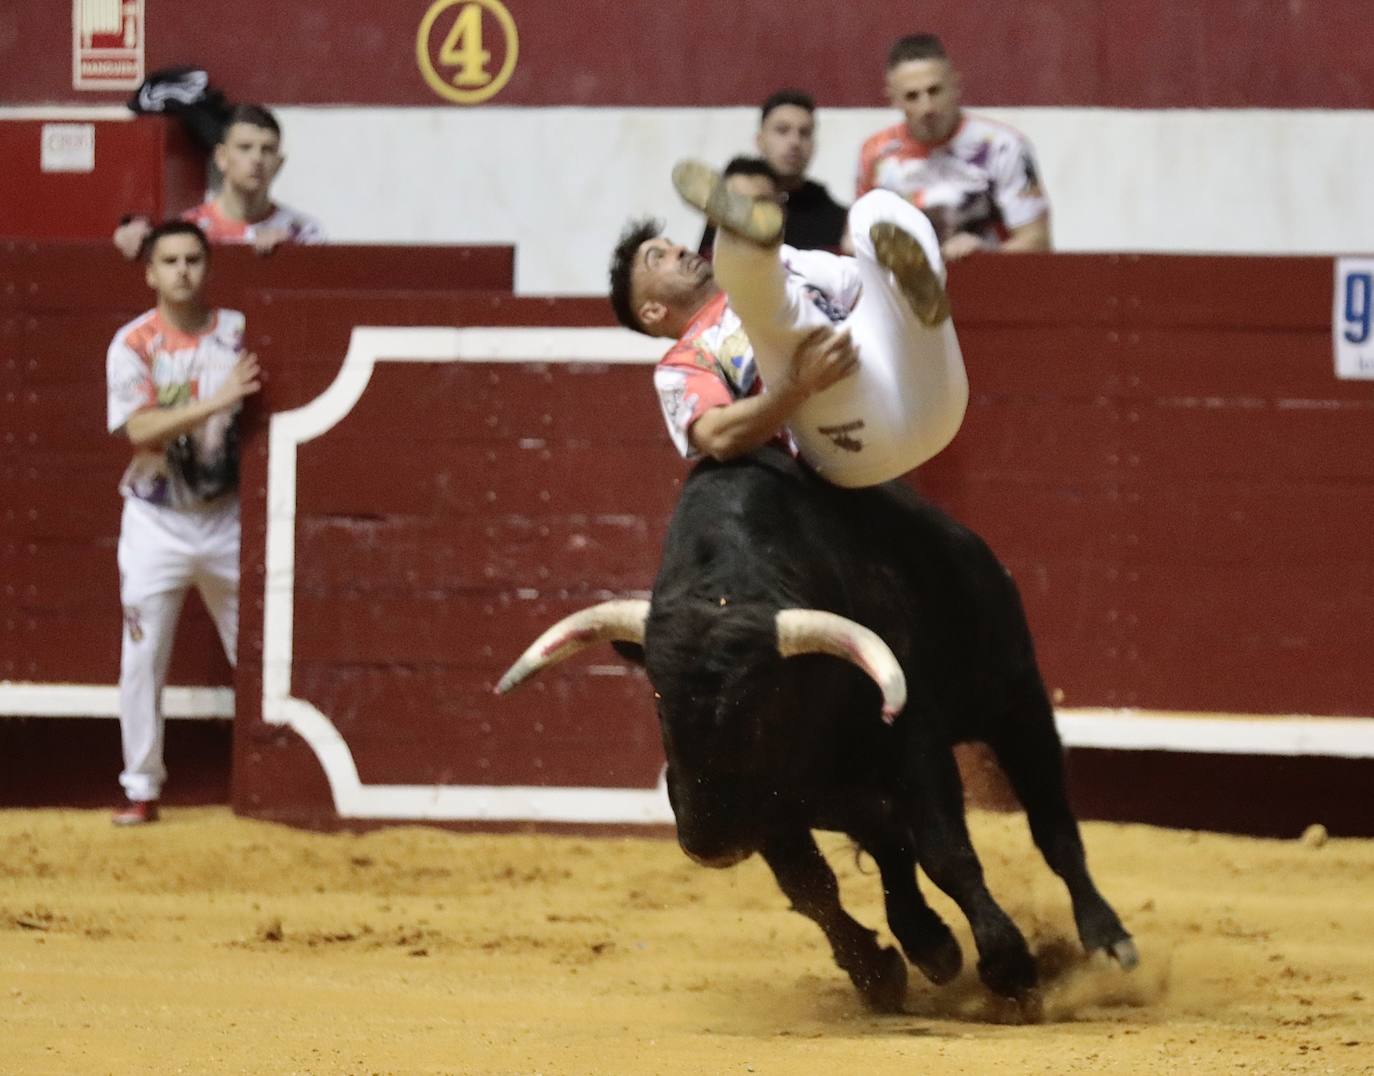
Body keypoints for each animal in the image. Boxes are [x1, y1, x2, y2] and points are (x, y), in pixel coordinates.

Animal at [500, 445, 1132, 1011]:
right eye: (657, 698)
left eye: (764, 703)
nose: (709, 844)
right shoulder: (767, 809)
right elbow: (810, 886)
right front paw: (878, 972)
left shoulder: (916, 750)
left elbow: (946, 854)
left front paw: (1012, 969)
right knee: (891, 849)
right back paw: (930, 945)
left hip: (1018, 706)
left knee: (1052, 827)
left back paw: (1106, 942)